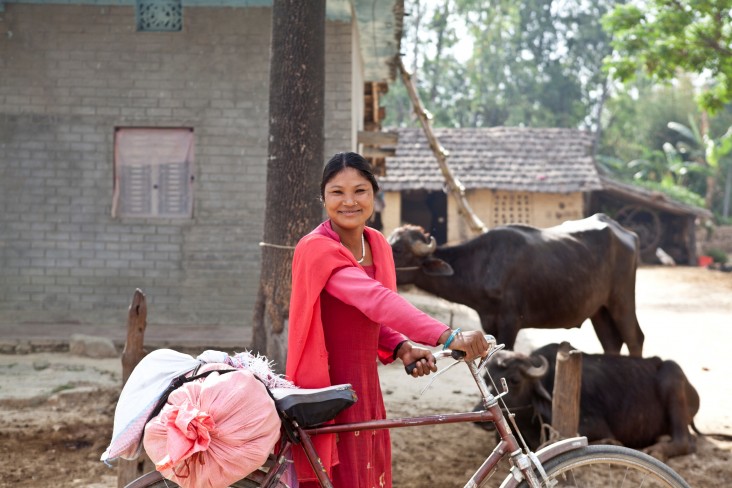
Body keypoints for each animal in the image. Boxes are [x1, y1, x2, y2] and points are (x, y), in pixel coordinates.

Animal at [392, 214, 644, 354]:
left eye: (399, 249)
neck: (482, 264)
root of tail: (626, 233)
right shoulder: (489, 323)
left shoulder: (510, 322)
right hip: (599, 309)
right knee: (611, 342)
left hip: (622, 300)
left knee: (635, 338)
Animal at [478, 342, 700, 460]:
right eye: (485, 378)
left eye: (514, 380)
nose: (479, 413)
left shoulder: (593, 425)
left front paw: (611, 442)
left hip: (672, 379)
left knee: (685, 441)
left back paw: (658, 450)